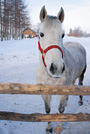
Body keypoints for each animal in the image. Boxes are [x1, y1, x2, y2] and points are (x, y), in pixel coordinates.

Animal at [36, 6, 86, 134]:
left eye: (63, 35)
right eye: (41, 34)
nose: (56, 68)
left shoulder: (62, 91)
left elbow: (61, 110)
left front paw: (58, 127)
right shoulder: (45, 93)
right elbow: (47, 110)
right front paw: (49, 128)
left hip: (82, 74)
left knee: (80, 85)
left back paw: (80, 101)